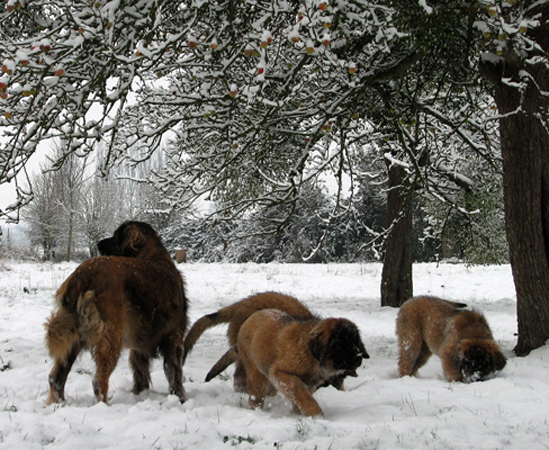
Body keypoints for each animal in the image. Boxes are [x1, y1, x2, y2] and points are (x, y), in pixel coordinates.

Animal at [43, 221, 188, 404]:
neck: (154, 255)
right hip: (111, 336)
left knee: (56, 376)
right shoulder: (174, 337)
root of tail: (82, 273)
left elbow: (140, 370)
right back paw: (103, 405)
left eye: (115, 236)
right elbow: (175, 372)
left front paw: (139, 393)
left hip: (73, 336)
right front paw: (180, 397)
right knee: (98, 380)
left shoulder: (140, 343)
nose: (98, 244)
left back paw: (59, 403)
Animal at [237, 308, 368, 416]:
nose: (358, 357)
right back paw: (255, 411)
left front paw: (298, 414)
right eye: (339, 344)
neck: (311, 356)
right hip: (257, 373)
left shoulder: (311, 383)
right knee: (256, 395)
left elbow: (302, 397)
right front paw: (316, 414)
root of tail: (254, 314)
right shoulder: (279, 372)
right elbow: (299, 390)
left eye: (355, 341)